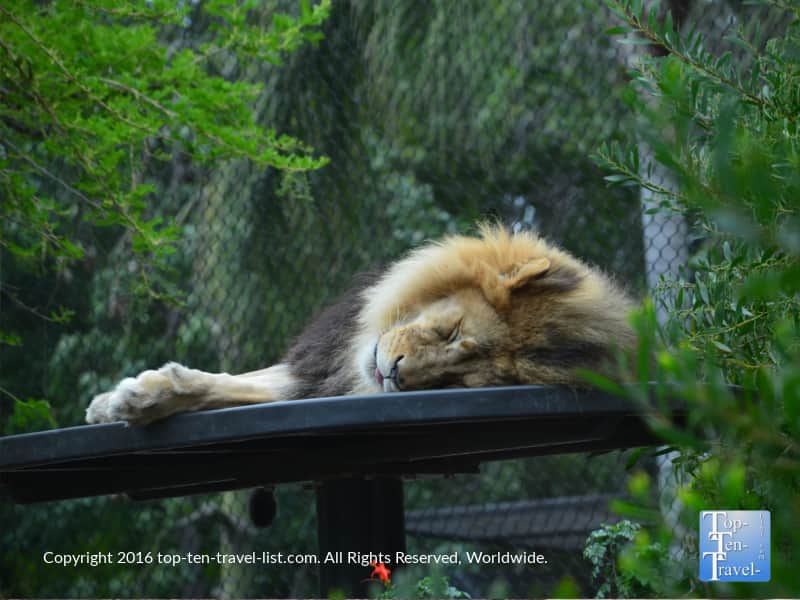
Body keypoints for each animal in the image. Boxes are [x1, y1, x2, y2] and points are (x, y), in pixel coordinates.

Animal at [86, 224, 636, 425]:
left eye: (455, 381)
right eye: (452, 331)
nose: (394, 374)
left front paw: (129, 400)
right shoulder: (320, 367)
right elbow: (223, 381)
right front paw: (121, 400)